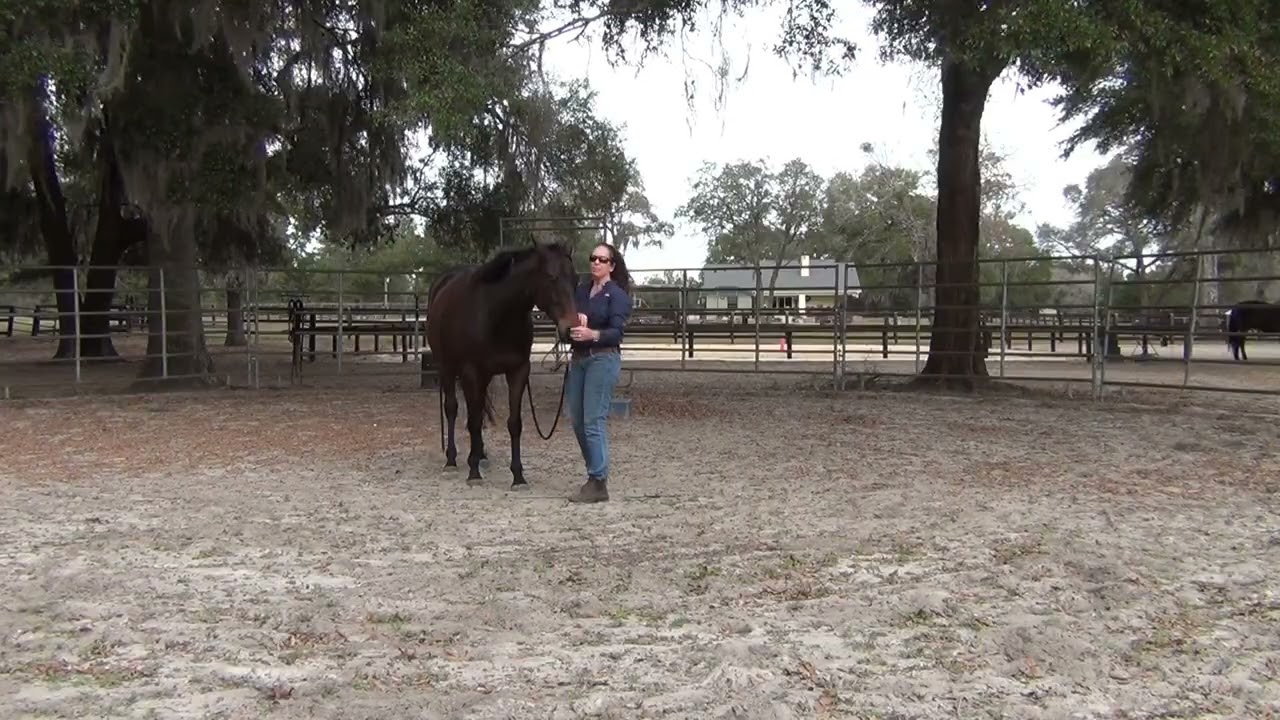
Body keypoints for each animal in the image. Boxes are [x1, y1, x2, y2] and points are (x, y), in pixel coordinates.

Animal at [425, 240, 580, 489]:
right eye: (551, 277)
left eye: (576, 280)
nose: (571, 329)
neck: (496, 314)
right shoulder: (471, 372)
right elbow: (473, 420)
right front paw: (474, 473)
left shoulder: (518, 371)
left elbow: (513, 423)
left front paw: (518, 476)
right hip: (447, 367)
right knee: (452, 409)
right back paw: (452, 460)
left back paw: (480, 454)